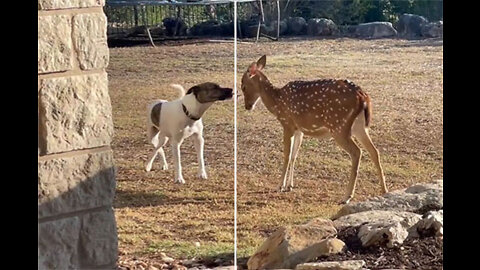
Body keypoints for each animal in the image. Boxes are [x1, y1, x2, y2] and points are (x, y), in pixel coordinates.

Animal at [242, 56, 388, 204]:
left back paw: (347, 196)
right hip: (360, 127)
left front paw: (280, 186)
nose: (247, 106)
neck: (277, 104)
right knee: (374, 151)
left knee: (357, 152)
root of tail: (363, 97)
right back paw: (384, 190)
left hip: (339, 126)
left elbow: (287, 155)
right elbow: (294, 155)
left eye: (243, 86)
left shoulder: (287, 124)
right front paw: (290, 185)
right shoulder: (299, 129)